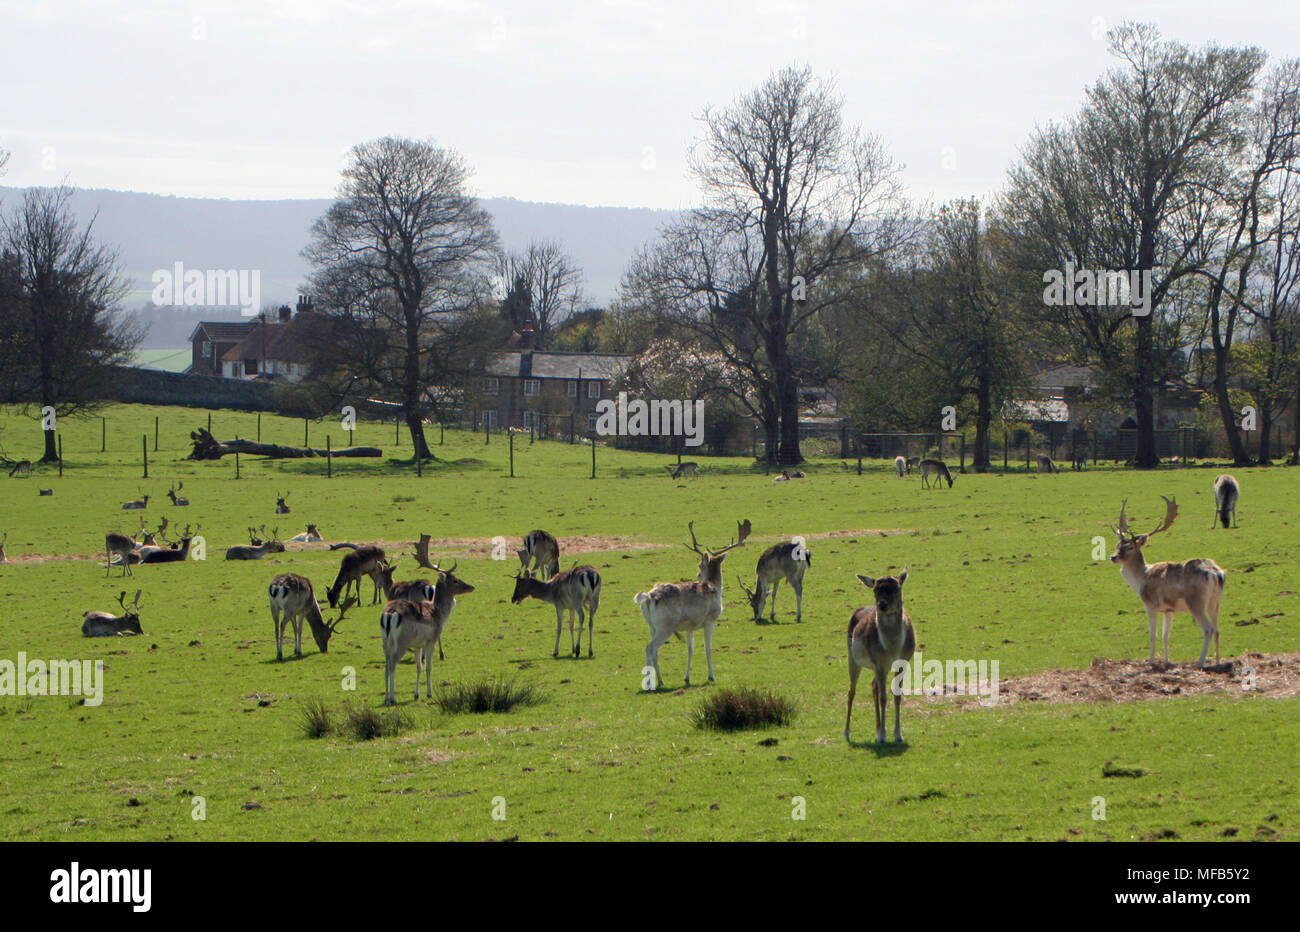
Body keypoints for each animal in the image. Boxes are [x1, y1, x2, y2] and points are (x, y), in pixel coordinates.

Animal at [379, 558, 478, 707]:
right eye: (455, 580)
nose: (471, 587)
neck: (438, 613)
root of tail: (389, 614)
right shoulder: (431, 640)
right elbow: (429, 667)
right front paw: (429, 694)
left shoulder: (417, 645)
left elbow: (419, 667)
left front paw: (416, 694)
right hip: (402, 641)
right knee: (392, 663)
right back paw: (392, 698)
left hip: (385, 641)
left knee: (386, 664)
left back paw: (385, 698)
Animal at [631, 519, 748, 686]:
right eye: (700, 564)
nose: (698, 575)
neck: (716, 587)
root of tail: (649, 597)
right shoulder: (710, 620)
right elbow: (708, 648)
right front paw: (711, 676)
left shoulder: (689, 627)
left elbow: (690, 650)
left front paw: (687, 678)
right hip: (666, 626)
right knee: (650, 648)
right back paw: (649, 684)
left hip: (652, 626)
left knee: (655, 651)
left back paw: (661, 681)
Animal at [842, 566, 915, 743]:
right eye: (875, 590)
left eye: (896, 588)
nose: (882, 604)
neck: (892, 648)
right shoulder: (879, 663)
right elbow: (883, 698)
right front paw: (883, 735)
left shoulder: (902, 663)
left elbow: (897, 695)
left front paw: (898, 735)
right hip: (853, 658)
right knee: (852, 691)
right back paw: (847, 732)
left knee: (873, 686)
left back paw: (876, 729)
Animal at [1112, 493, 1222, 670]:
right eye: (1117, 544)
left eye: (1130, 547)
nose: (1113, 557)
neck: (1141, 578)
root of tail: (1215, 573)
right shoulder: (1168, 610)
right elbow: (1165, 636)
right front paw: (1166, 661)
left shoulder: (1150, 605)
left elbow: (1153, 635)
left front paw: (1151, 662)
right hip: (1215, 601)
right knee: (1218, 629)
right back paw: (1218, 662)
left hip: (1196, 602)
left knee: (1208, 629)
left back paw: (1200, 662)